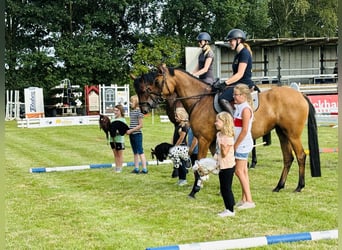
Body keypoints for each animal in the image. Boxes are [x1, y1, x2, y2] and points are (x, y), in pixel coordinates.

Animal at [134, 65, 320, 198]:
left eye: (156, 83)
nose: (145, 108)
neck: (199, 99)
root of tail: (300, 95)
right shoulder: (212, 141)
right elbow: (217, 163)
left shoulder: (203, 139)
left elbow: (200, 162)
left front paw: (195, 190)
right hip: (282, 133)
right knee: (288, 158)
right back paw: (279, 186)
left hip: (292, 134)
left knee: (301, 156)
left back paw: (299, 186)